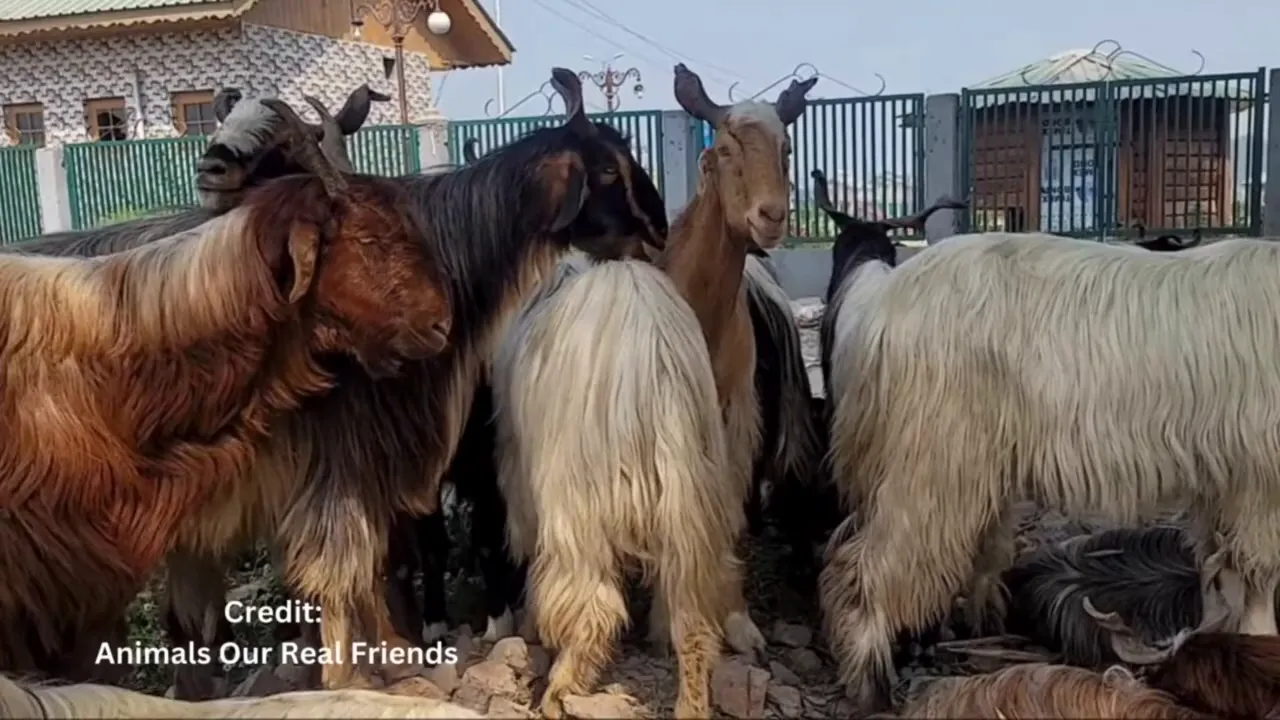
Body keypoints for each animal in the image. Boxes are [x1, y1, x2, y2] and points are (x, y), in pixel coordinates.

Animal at [162, 67, 670, 693]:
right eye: (607, 169)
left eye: (283, 138)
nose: (659, 226)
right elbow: (411, 545)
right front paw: (417, 629)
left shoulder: (462, 447)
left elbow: (478, 534)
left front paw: (493, 622)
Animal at [818, 226, 1280, 713]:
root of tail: (881, 295)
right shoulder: (1260, 478)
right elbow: (1257, 575)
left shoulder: (1223, 482)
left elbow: (1224, 571)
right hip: (933, 460)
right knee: (872, 562)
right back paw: (870, 683)